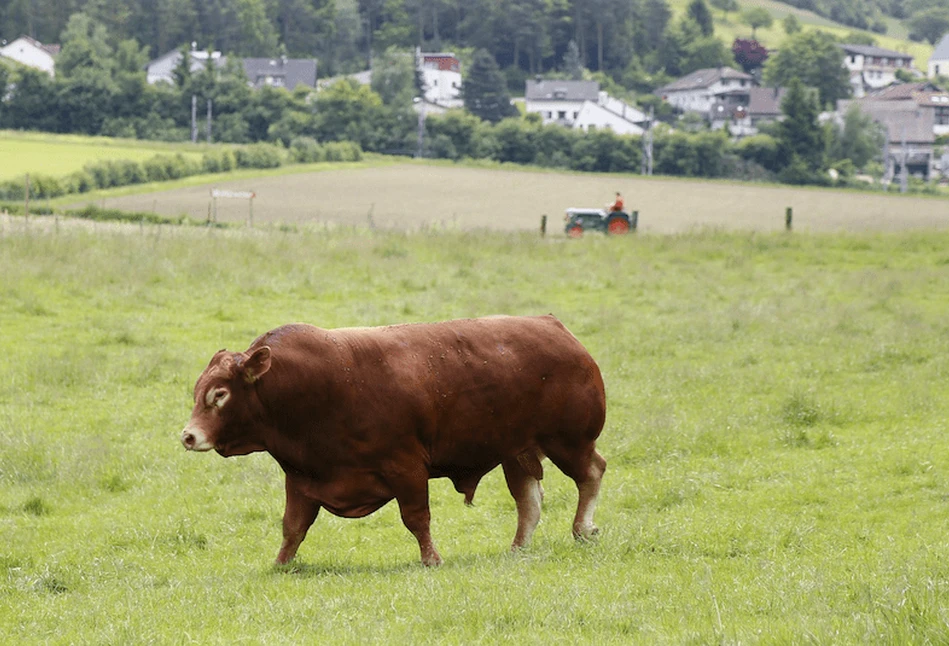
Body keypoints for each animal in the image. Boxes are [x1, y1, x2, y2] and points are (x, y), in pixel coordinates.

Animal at [181, 316, 604, 568]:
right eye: (199, 391)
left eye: (219, 395)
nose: (189, 435)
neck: (318, 387)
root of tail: (556, 328)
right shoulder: (302, 478)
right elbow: (293, 527)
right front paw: (281, 564)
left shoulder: (406, 468)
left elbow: (417, 518)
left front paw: (431, 559)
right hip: (516, 452)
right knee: (528, 500)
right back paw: (519, 547)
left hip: (569, 442)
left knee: (591, 473)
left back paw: (582, 527)